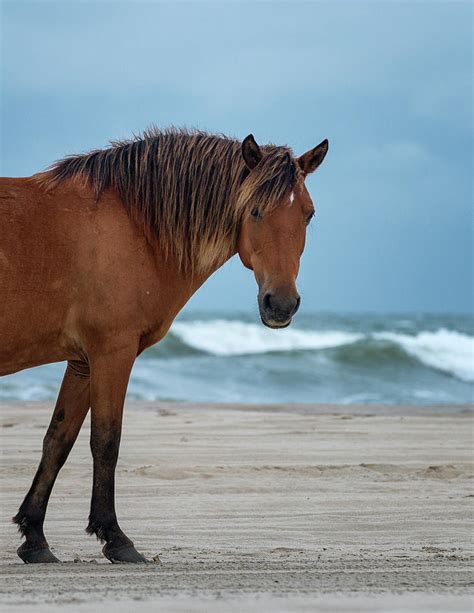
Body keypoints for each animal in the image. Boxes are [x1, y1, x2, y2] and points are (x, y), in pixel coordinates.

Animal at [0, 126, 326, 560]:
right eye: (255, 211)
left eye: (308, 213)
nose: (282, 304)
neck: (133, 225)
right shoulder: (112, 353)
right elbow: (106, 441)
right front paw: (115, 537)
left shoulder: (83, 363)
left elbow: (58, 441)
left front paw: (34, 537)